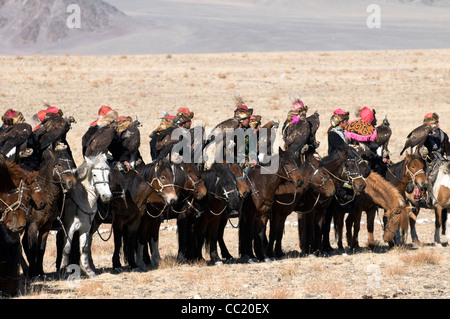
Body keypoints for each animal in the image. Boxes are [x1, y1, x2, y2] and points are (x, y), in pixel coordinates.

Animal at [21, 146, 77, 280]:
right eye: (59, 164)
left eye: (71, 164)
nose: (72, 183)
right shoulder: (33, 226)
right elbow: (33, 249)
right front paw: (34, 273)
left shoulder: (46, 227)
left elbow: (41, 249)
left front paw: (40, 272)